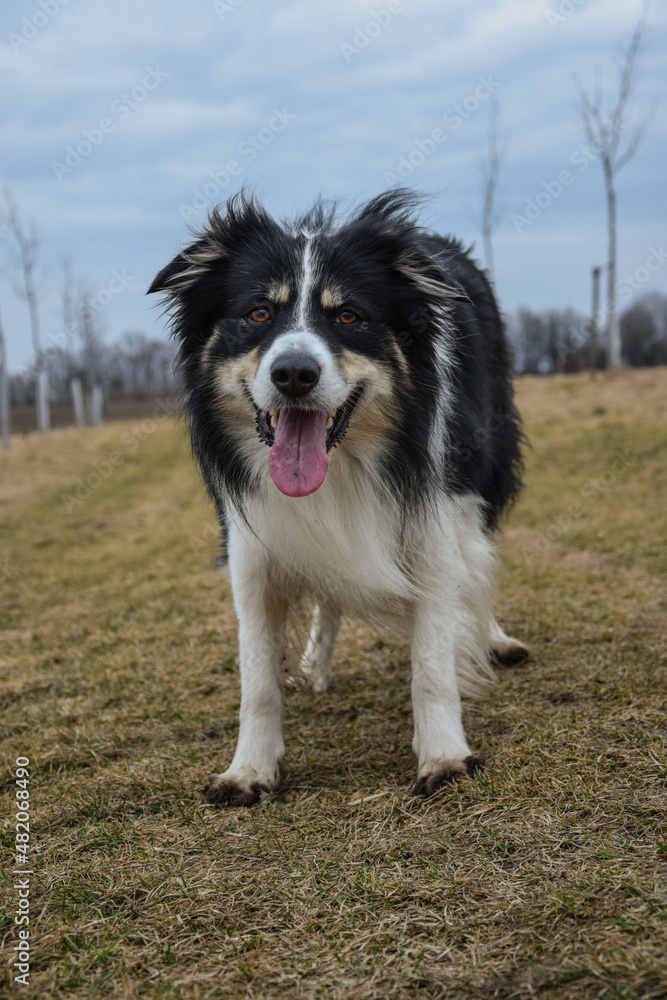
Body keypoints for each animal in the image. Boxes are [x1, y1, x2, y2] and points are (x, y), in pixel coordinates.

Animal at [149, 189, 528, 804]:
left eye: (348, 316)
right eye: (258, 313)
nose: (293, 373)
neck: (345, 464)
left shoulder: (434, 518)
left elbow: (433, 654)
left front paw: (445, 756)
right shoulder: (252, 543)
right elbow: (257, 675)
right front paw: (249, 769)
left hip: (482, 473)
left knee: (479, 562)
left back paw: (492, 637)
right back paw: (316, 666)